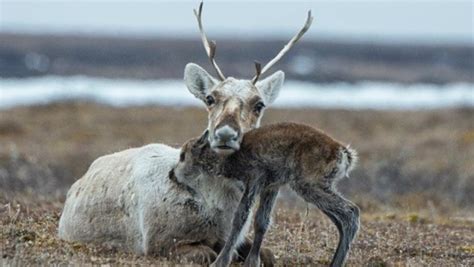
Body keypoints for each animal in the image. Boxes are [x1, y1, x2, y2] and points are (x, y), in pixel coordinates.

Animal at [174, 123, 360, 267]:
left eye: (183, 155)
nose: (173, 174)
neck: (227, 157)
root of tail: (344, 153)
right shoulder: (271, 187)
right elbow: (261, 221)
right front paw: (252, 262)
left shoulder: (254, 181)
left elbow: (240, 219)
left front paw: (220, 262)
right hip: (316, 189)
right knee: (341, 220)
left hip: (309, 186)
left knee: (351, 212)